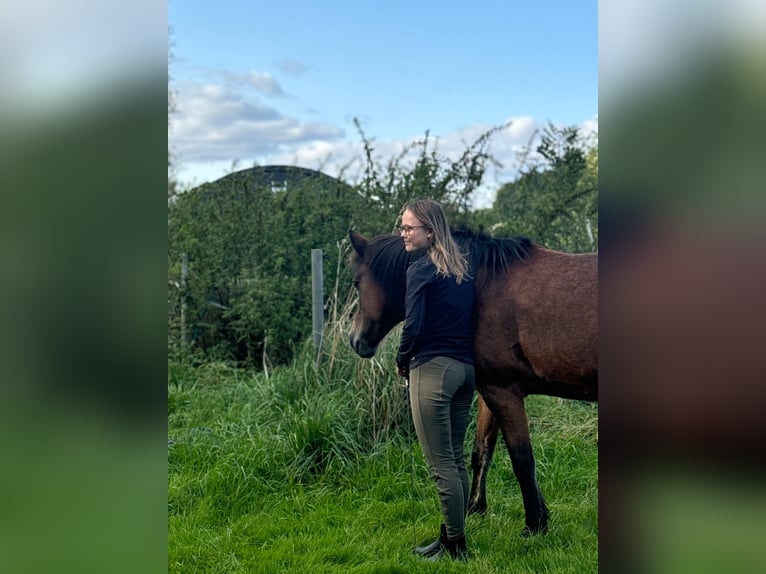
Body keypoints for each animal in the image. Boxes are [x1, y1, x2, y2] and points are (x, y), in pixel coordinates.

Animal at [350, 230, 600, 536]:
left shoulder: (504, 392)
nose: (356, 340)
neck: (481, 286)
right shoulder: (489, 391)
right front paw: (475, 508)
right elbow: (481, 450)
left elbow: (522, 460)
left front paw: (534, 524)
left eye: (356, 281)